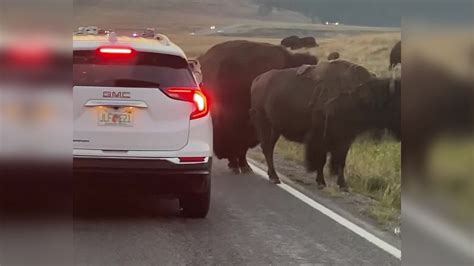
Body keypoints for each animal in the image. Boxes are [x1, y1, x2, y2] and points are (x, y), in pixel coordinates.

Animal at [248, 60, 400, 190]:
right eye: (397, 102)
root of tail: (258, 80)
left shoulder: (345, 140)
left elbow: (341, 162)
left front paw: (343, 185)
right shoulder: (322, 138)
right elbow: (322, 161)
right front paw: (321, 182)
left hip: (275, 129)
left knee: (268, 148)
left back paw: (272, 175)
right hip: (264, 123)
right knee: (267, 148)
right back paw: (274, 177)